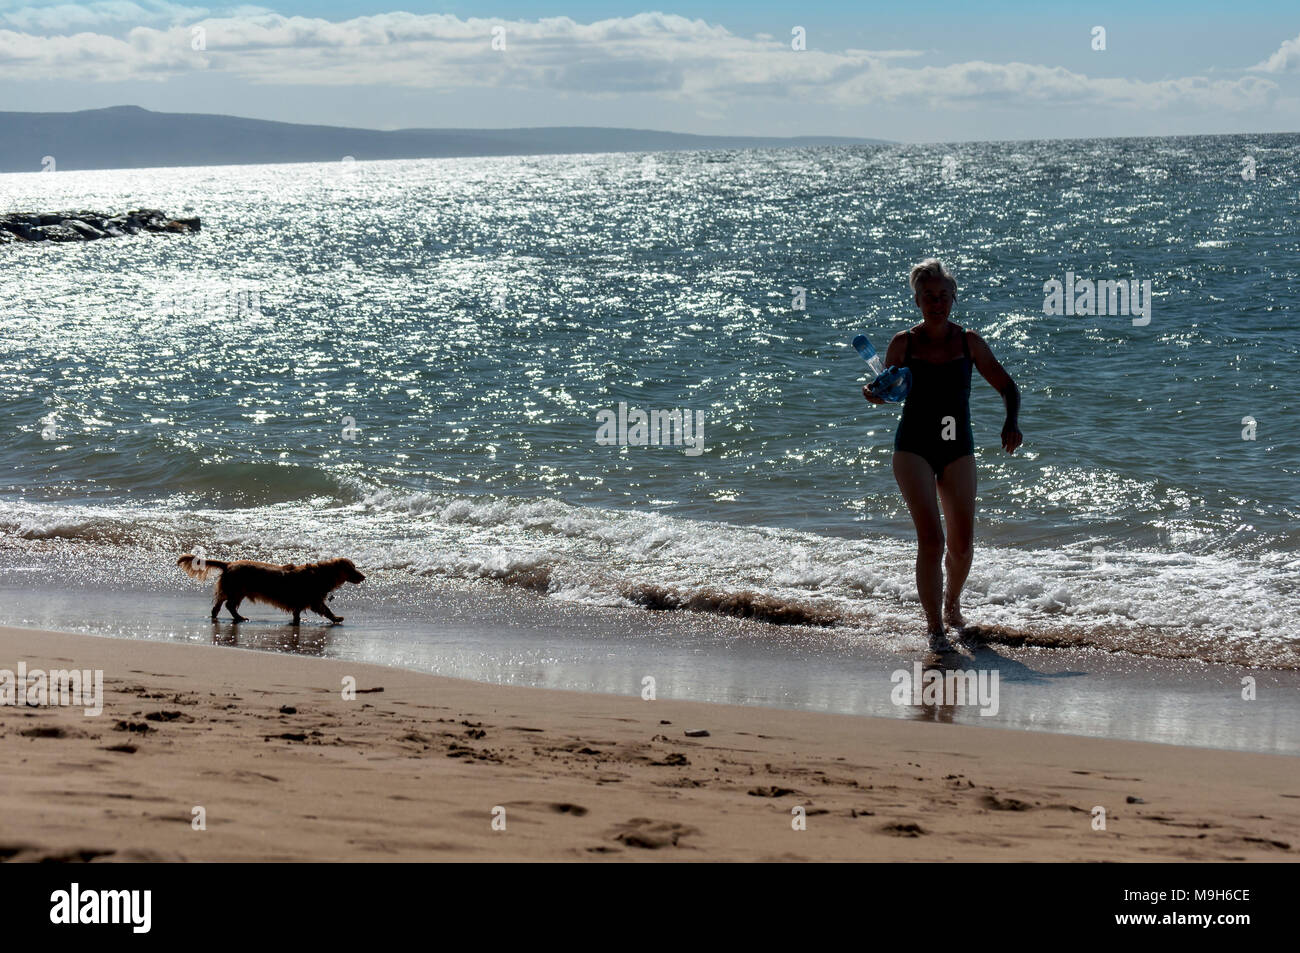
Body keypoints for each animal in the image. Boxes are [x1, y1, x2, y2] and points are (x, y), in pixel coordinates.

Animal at [175, 551, 364, 624]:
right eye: (352, 569)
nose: (364, 577)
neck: (321, 574)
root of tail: (229, 564)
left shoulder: (301, 602)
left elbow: (297, 613)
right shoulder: (315, 600)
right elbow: (327, 610)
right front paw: (336, 618)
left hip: (233, 590)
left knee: (219, 605)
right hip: (237, 590)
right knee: (229, 605)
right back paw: (239, 618)